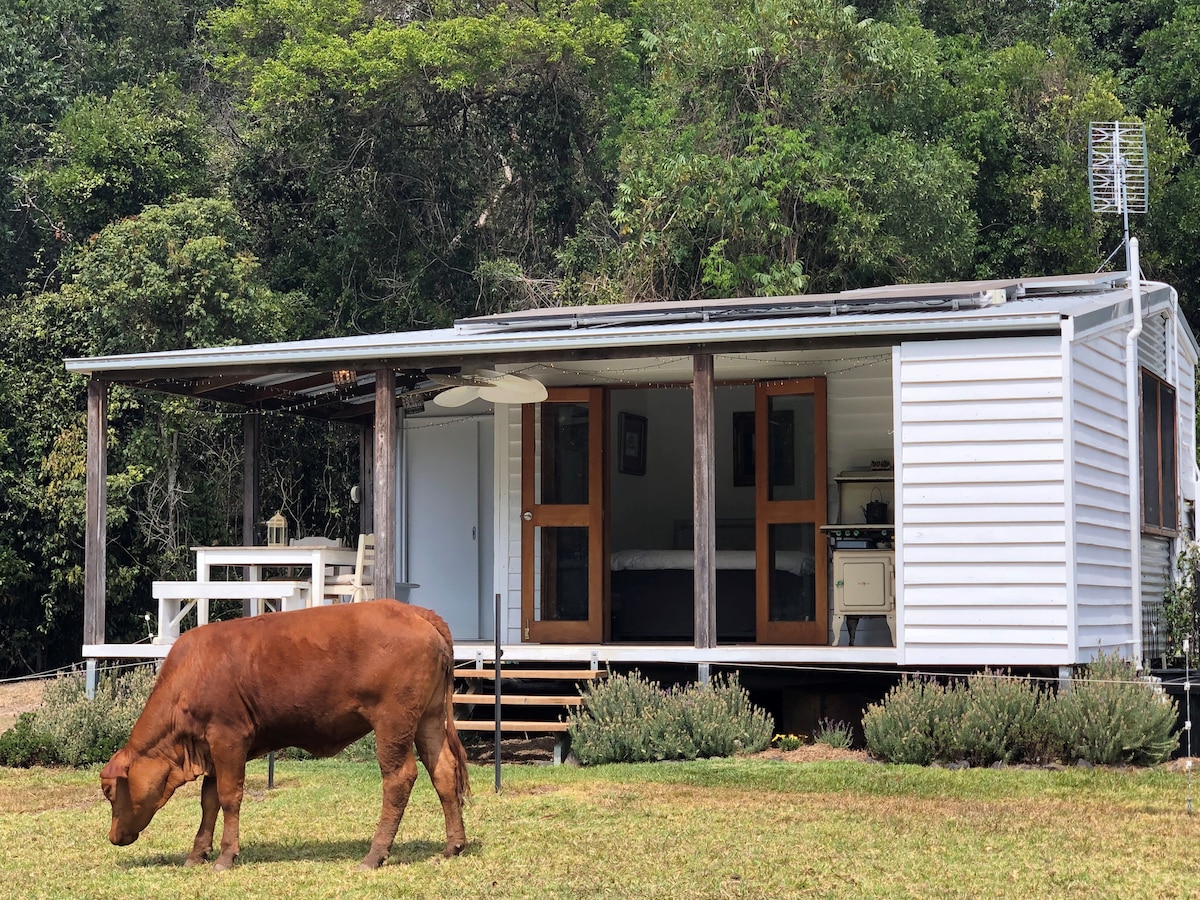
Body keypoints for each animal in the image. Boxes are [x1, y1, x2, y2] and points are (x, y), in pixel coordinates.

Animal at [98, 602, 468, 868]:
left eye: (109, 791)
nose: (113, 837)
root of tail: (415, 611)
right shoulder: (210, 746)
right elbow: (209, 800)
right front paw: (196, 854)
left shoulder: (228, 736)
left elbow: (229, 796)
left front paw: (226, 856)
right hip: (428, 719)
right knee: (443, 771)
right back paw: (454, 845)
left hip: (393, 722)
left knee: (398, 778)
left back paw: (374, 854)